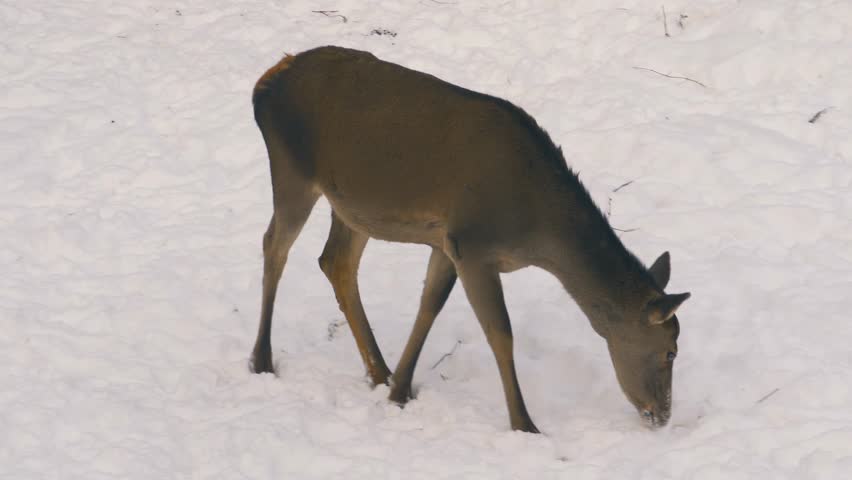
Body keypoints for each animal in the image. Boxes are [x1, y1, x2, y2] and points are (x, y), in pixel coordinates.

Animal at [249, 46, 690, 433]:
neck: (534, 233)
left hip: (350, 206)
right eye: (671, 350)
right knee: (274, 246)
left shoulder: (447, 242)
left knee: (336, 262)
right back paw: (262, 360)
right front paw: (524, 423)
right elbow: (500, 332)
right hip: (292, 170)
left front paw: (400, 390)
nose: (661, 415)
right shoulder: (474, 245)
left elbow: (429, 307)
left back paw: (378, 371)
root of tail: (265, 82)